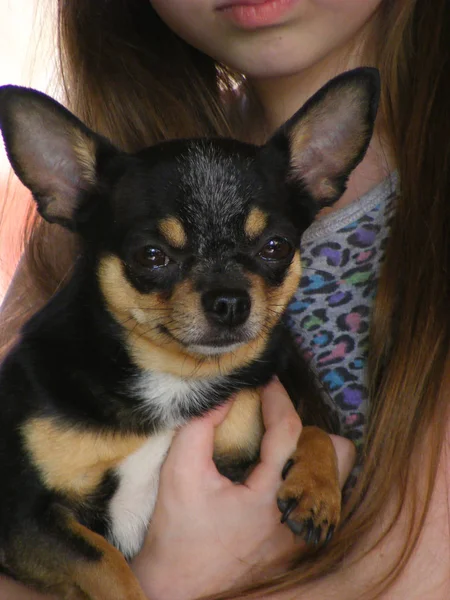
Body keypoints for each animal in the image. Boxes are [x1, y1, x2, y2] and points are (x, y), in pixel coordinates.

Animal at [0, 68, 380, 596]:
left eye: (276, 247)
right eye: (151, 256)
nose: (230, 301)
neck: (174, 378)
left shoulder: (243, 451)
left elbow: (312, 429)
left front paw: (316, 488)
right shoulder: (24, 518)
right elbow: (109, 566)